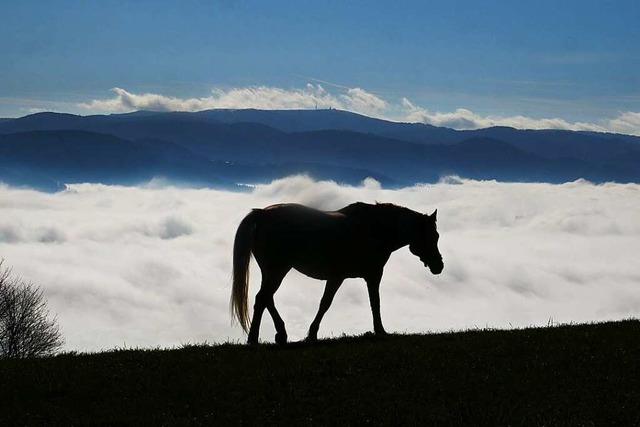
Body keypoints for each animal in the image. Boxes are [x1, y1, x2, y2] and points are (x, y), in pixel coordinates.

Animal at [230, 202, 444, 346]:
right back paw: (255, 338)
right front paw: (380, 331)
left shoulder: (339, 277)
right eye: (432, 236)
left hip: (271, 271)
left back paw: (279, 334)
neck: (375, 228)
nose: (439, 266)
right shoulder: (369, 275)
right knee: (262, 298)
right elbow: (372, 303)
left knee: (266, 299)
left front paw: (312, 334)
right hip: (277, 270)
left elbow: (326, 304)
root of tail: (261, 214)